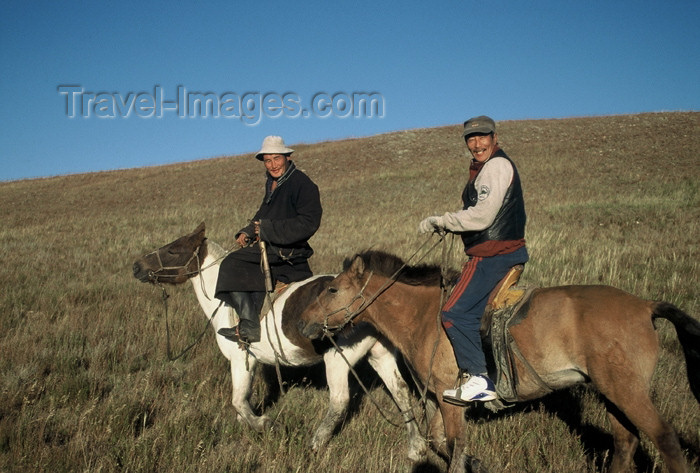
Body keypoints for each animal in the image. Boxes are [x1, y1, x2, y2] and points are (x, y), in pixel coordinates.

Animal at [133, 226, 426, 460]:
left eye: (173, 250)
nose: (137, 266)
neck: (226, 301)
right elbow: (242, 405)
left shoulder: (241, 359)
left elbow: (238, 402)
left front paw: (266, 425)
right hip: (380, 355)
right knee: (400, 391)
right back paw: (417, 447)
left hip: (337, 360)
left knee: (340, 401)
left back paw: (315, 443)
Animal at [296, 249, 700, 472]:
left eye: (332, 289)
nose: (303, 322)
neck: (422, 316)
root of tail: (645, 306)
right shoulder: (435, 399)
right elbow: (438, 441)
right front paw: (478, 464)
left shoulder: (451, 400)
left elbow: (455, 447)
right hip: (611, 393)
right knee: (625, 443)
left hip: (628, 391)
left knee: (665, 439)